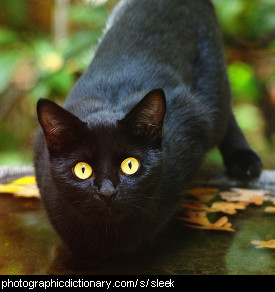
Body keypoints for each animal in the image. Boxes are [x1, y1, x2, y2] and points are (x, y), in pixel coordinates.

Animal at [34, 0, 264, 260]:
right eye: (82, 170)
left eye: (130, 165)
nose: (107, 192)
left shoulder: (193, 118)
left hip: (213, 91)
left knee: (226, 114)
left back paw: (244, 160)